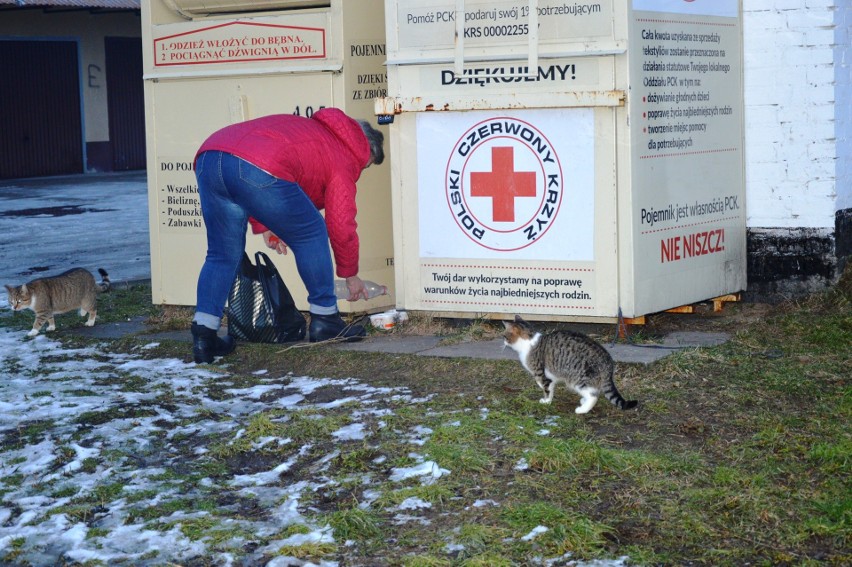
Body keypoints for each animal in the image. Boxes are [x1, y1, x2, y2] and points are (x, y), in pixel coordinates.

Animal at [502, 316, 636, 412]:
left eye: (504, 336)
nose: (503, 342)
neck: (528, 341)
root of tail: (608, 362)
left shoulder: (541, 373)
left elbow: (545, 388)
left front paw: (546, 401)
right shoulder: (550, 376)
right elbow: (549, 386)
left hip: (578, 379)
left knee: (593, 396)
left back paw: (582, 410)